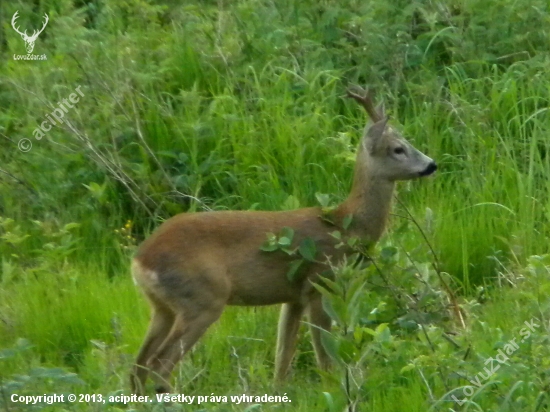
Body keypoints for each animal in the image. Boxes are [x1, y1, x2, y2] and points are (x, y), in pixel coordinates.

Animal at [132, 85, 438, 394]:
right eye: (398, 149)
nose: (431, 165)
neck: (346, 226)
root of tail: (140, 260)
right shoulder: (319, 282)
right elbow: (324, 353)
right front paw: (332, 388)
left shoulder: (293, 296)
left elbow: (283, 355)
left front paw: (279, 392)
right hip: (202, 297)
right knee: (159, 364)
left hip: (162, 307)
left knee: (138, 366)